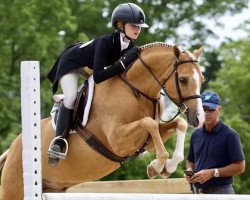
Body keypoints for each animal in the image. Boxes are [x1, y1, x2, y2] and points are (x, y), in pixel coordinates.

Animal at [0, 41, 205, 198]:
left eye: (202, 79)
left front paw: (165, 167)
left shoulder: (143, 142)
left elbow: (178, 124)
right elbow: (150, 122)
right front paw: (158, 165)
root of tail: (12, 149)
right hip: (14, 189)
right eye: (183, 80)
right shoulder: (118, 140)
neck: (136, 90)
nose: (199, 118)